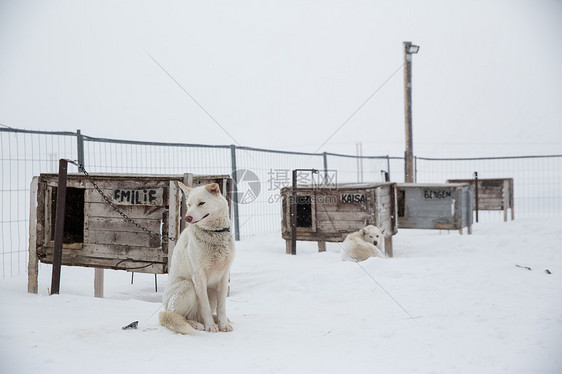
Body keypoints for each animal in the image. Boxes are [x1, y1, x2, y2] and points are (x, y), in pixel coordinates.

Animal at [159, 183, 235, 334]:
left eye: (201, 203)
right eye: (189, 204)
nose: (187, 217)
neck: (213, 233)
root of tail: (165, 308)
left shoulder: (224, 276)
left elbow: (222, 306)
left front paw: (223, 324)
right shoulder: (199, 277)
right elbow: (205, 306)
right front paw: (210, 326)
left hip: (212, 291)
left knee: (200, 314)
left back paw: (215, 319)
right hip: (188, 286)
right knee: (180, 316)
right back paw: (196, 324)